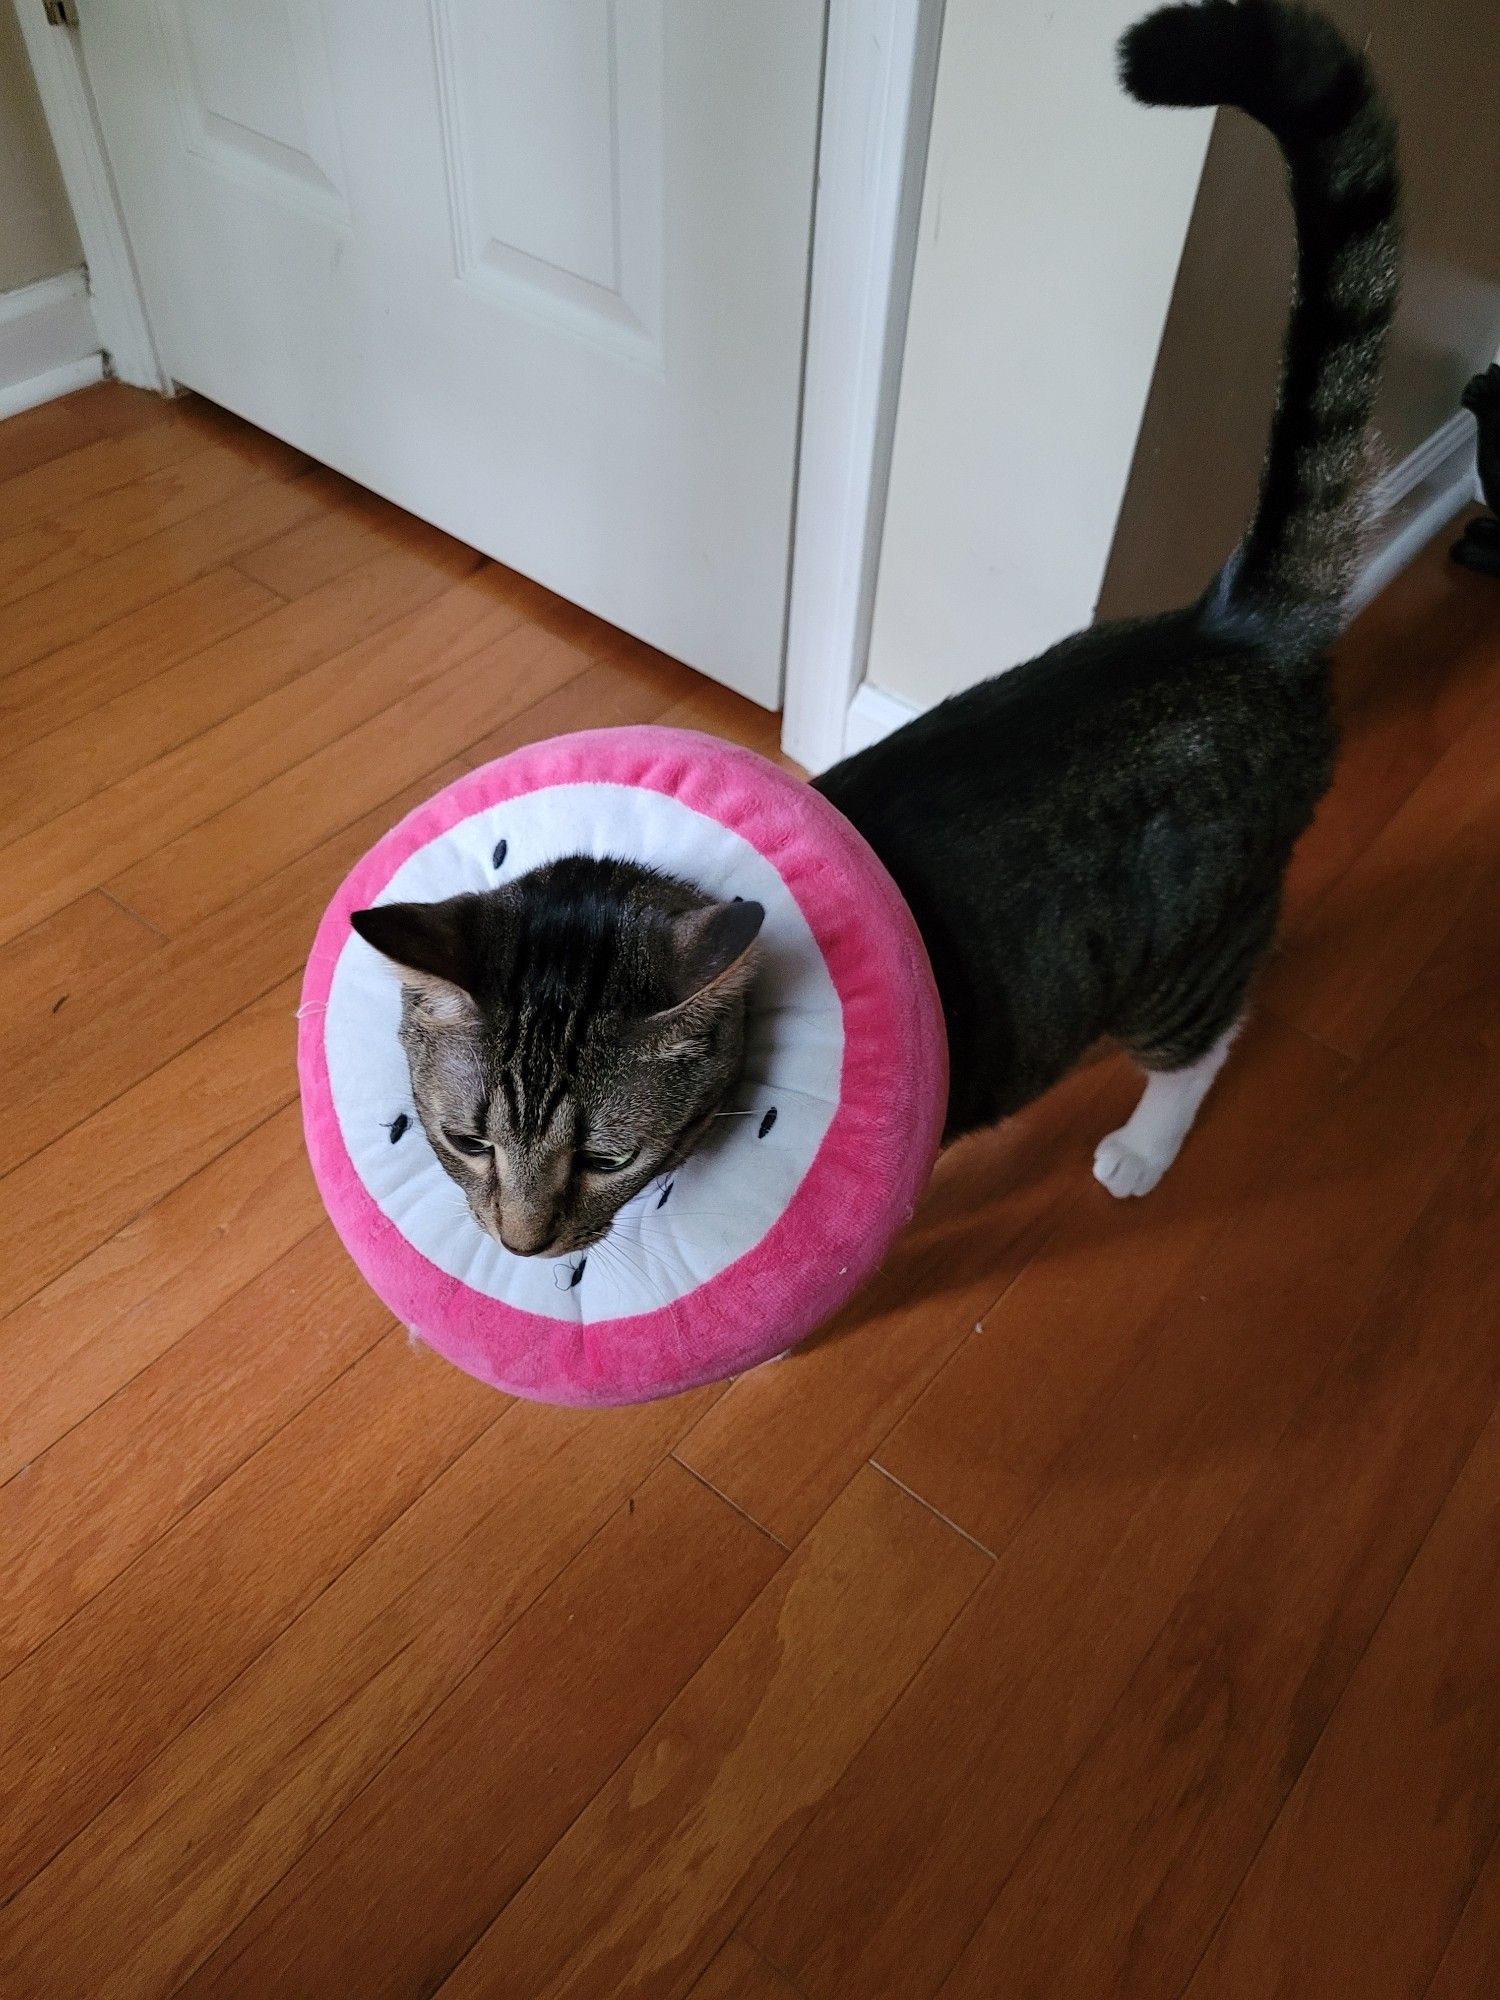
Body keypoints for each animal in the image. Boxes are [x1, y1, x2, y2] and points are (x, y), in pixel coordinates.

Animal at [356, 3, 1408, 1264]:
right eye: (463, 1138)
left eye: (609, 1157)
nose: (519, 1245)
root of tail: (1236, 622)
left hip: (1184, 968)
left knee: (1209, 1038)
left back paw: (1144, 1147)